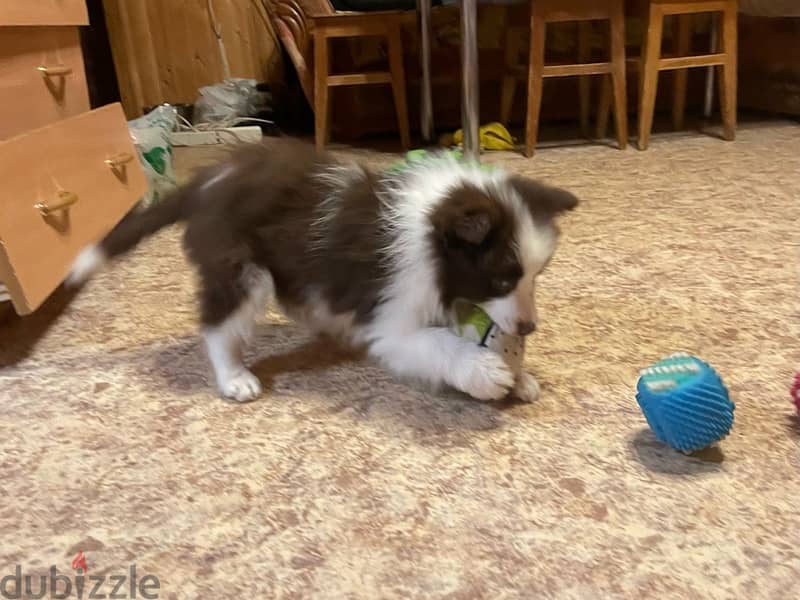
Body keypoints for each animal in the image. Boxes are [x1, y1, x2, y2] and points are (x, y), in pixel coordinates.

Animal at [69, 139, 580, 404]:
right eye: (502, 279)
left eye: (536, 276)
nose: (529, 327)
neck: (428, 233)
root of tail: (210, 179)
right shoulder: (392, 310)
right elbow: (428, 342)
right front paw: (483, 370)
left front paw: (520, 375)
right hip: (239, 266)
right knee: (219, 322)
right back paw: (233, 377)